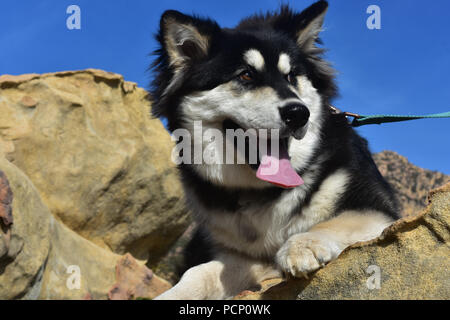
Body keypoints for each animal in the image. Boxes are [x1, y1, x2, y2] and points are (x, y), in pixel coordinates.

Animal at [149, 0, 400, 300]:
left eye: (291, 76)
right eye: (246, 74)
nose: (298, 114)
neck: (264, 192)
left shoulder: (379, 212)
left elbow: (337, 221)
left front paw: (301, 245)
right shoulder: (242, 255)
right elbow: (200, 272)